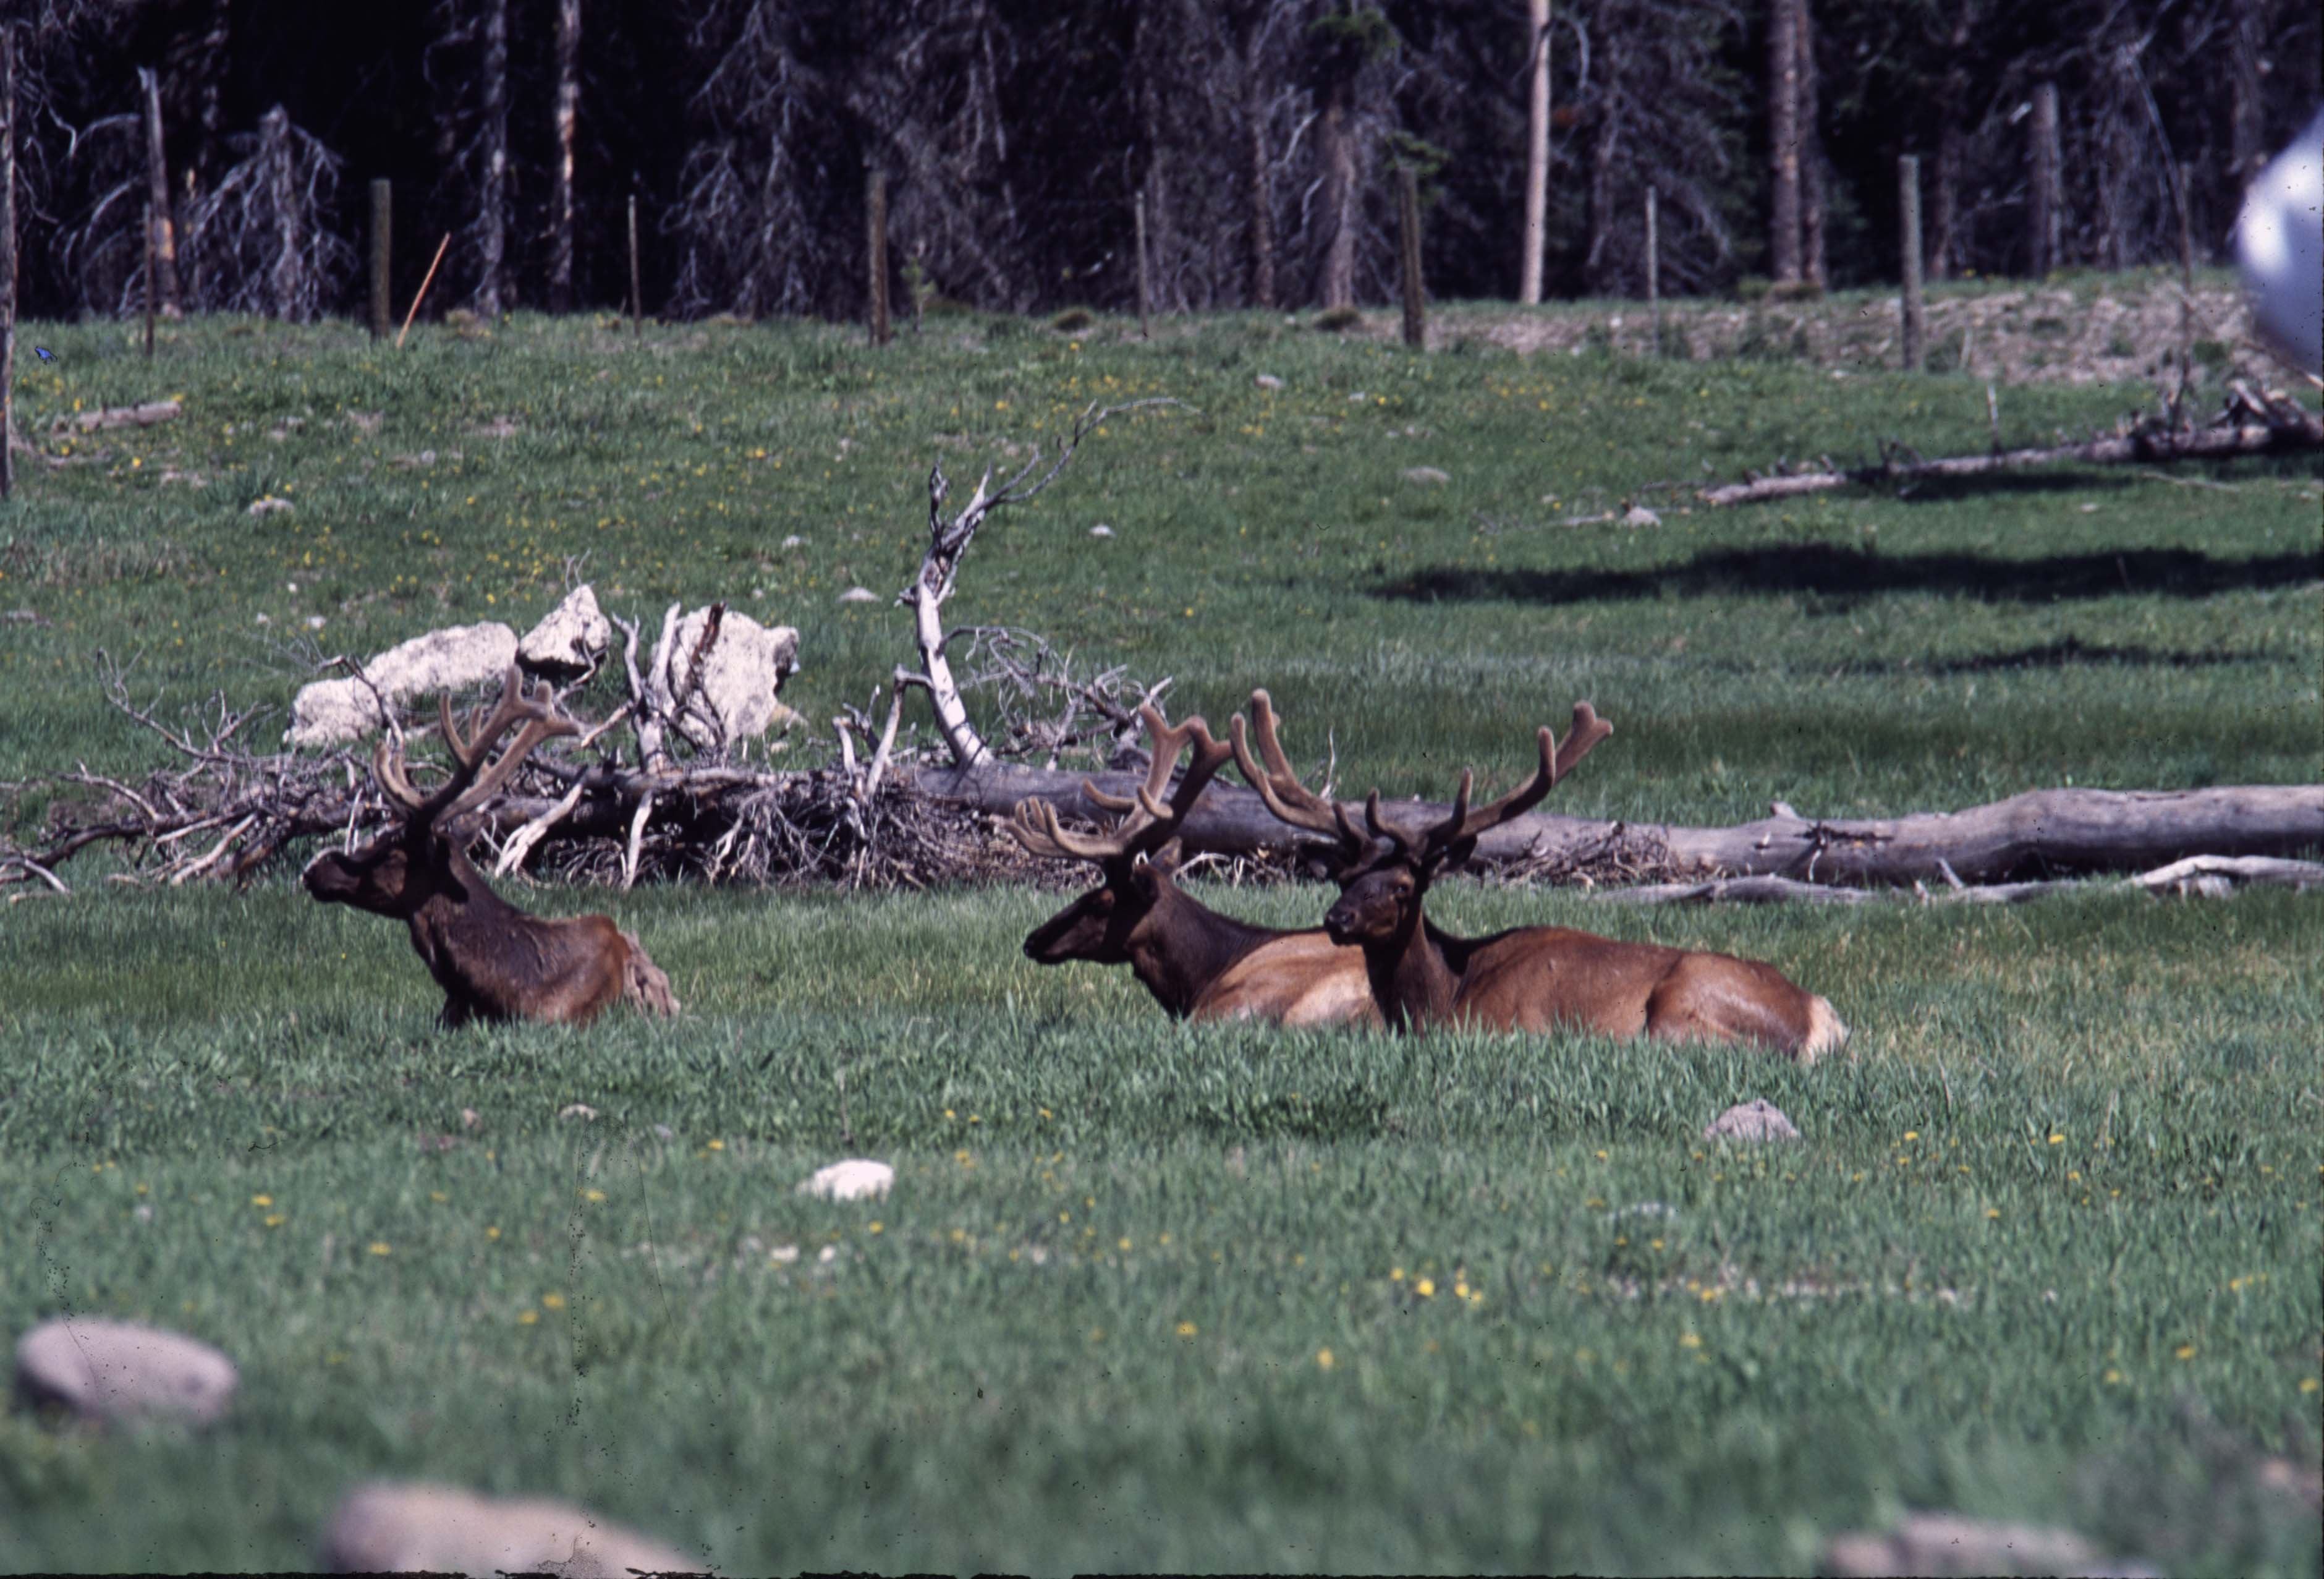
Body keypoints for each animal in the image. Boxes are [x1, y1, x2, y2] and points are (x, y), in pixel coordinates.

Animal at [1229, 691, 1847, 1062]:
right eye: (1345, 877)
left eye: (1404, 886)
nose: (1338, 919)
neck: (1444, 996)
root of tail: (1820, 1021)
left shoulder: (1509, 1026)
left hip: (1679, 1010)